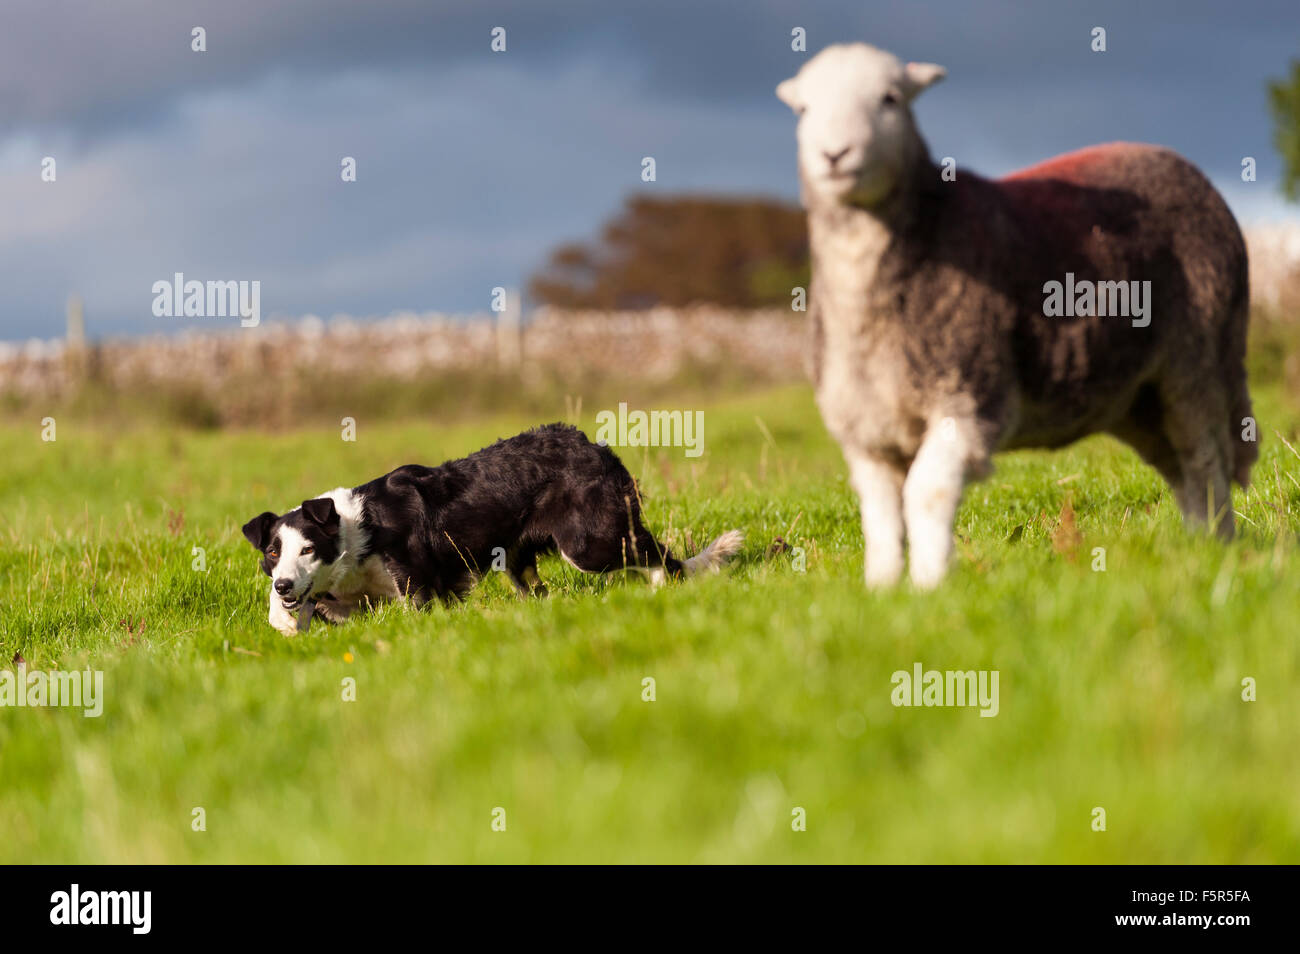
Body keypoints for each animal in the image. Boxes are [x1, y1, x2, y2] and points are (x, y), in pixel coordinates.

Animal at [243, 423, 743, 634]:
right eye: (273, 553)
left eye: (308, 549)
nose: (284, 584)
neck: (355, 533)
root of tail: (593, 444)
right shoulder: (349, 602)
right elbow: (293, 612)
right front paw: (283, 617)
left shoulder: (418, 586)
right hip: (521, 562)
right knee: (540, 592)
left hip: (588, 543)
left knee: (662, 558)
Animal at [774, 44, 1253, 590]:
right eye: (804, 109)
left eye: (890, 98)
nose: (834, 154)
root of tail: (1189, 169)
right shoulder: (866, 428)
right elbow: (879, 514)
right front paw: (883, 588)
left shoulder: (969, 397)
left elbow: (926, 493)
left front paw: (930, 586)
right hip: (1137, 395)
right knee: (1178, 465)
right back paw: (1196, 546)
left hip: (1199, 356)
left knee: (1205, 458)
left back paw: (1217, 549)